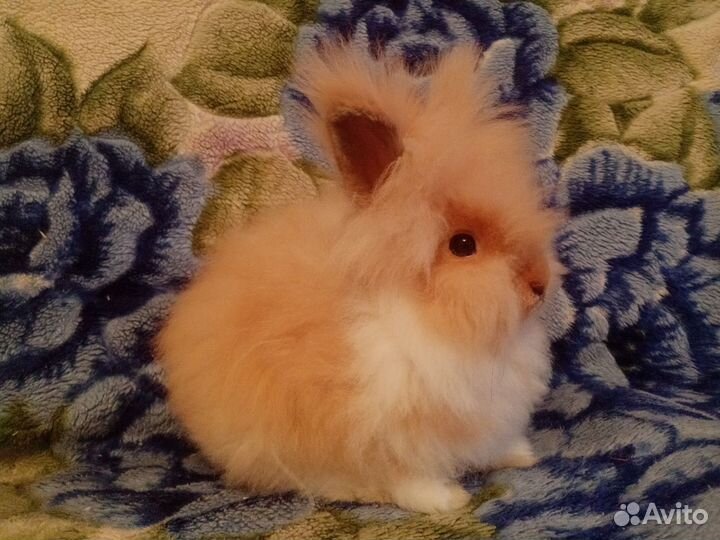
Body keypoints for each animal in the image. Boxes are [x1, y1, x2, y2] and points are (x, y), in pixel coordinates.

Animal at [156, 43, 562, 514]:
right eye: (463, 245)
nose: (539, 284)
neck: (426, 317)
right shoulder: (386, 431)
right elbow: (410, 475)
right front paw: (446, 501)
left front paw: (521, 455)